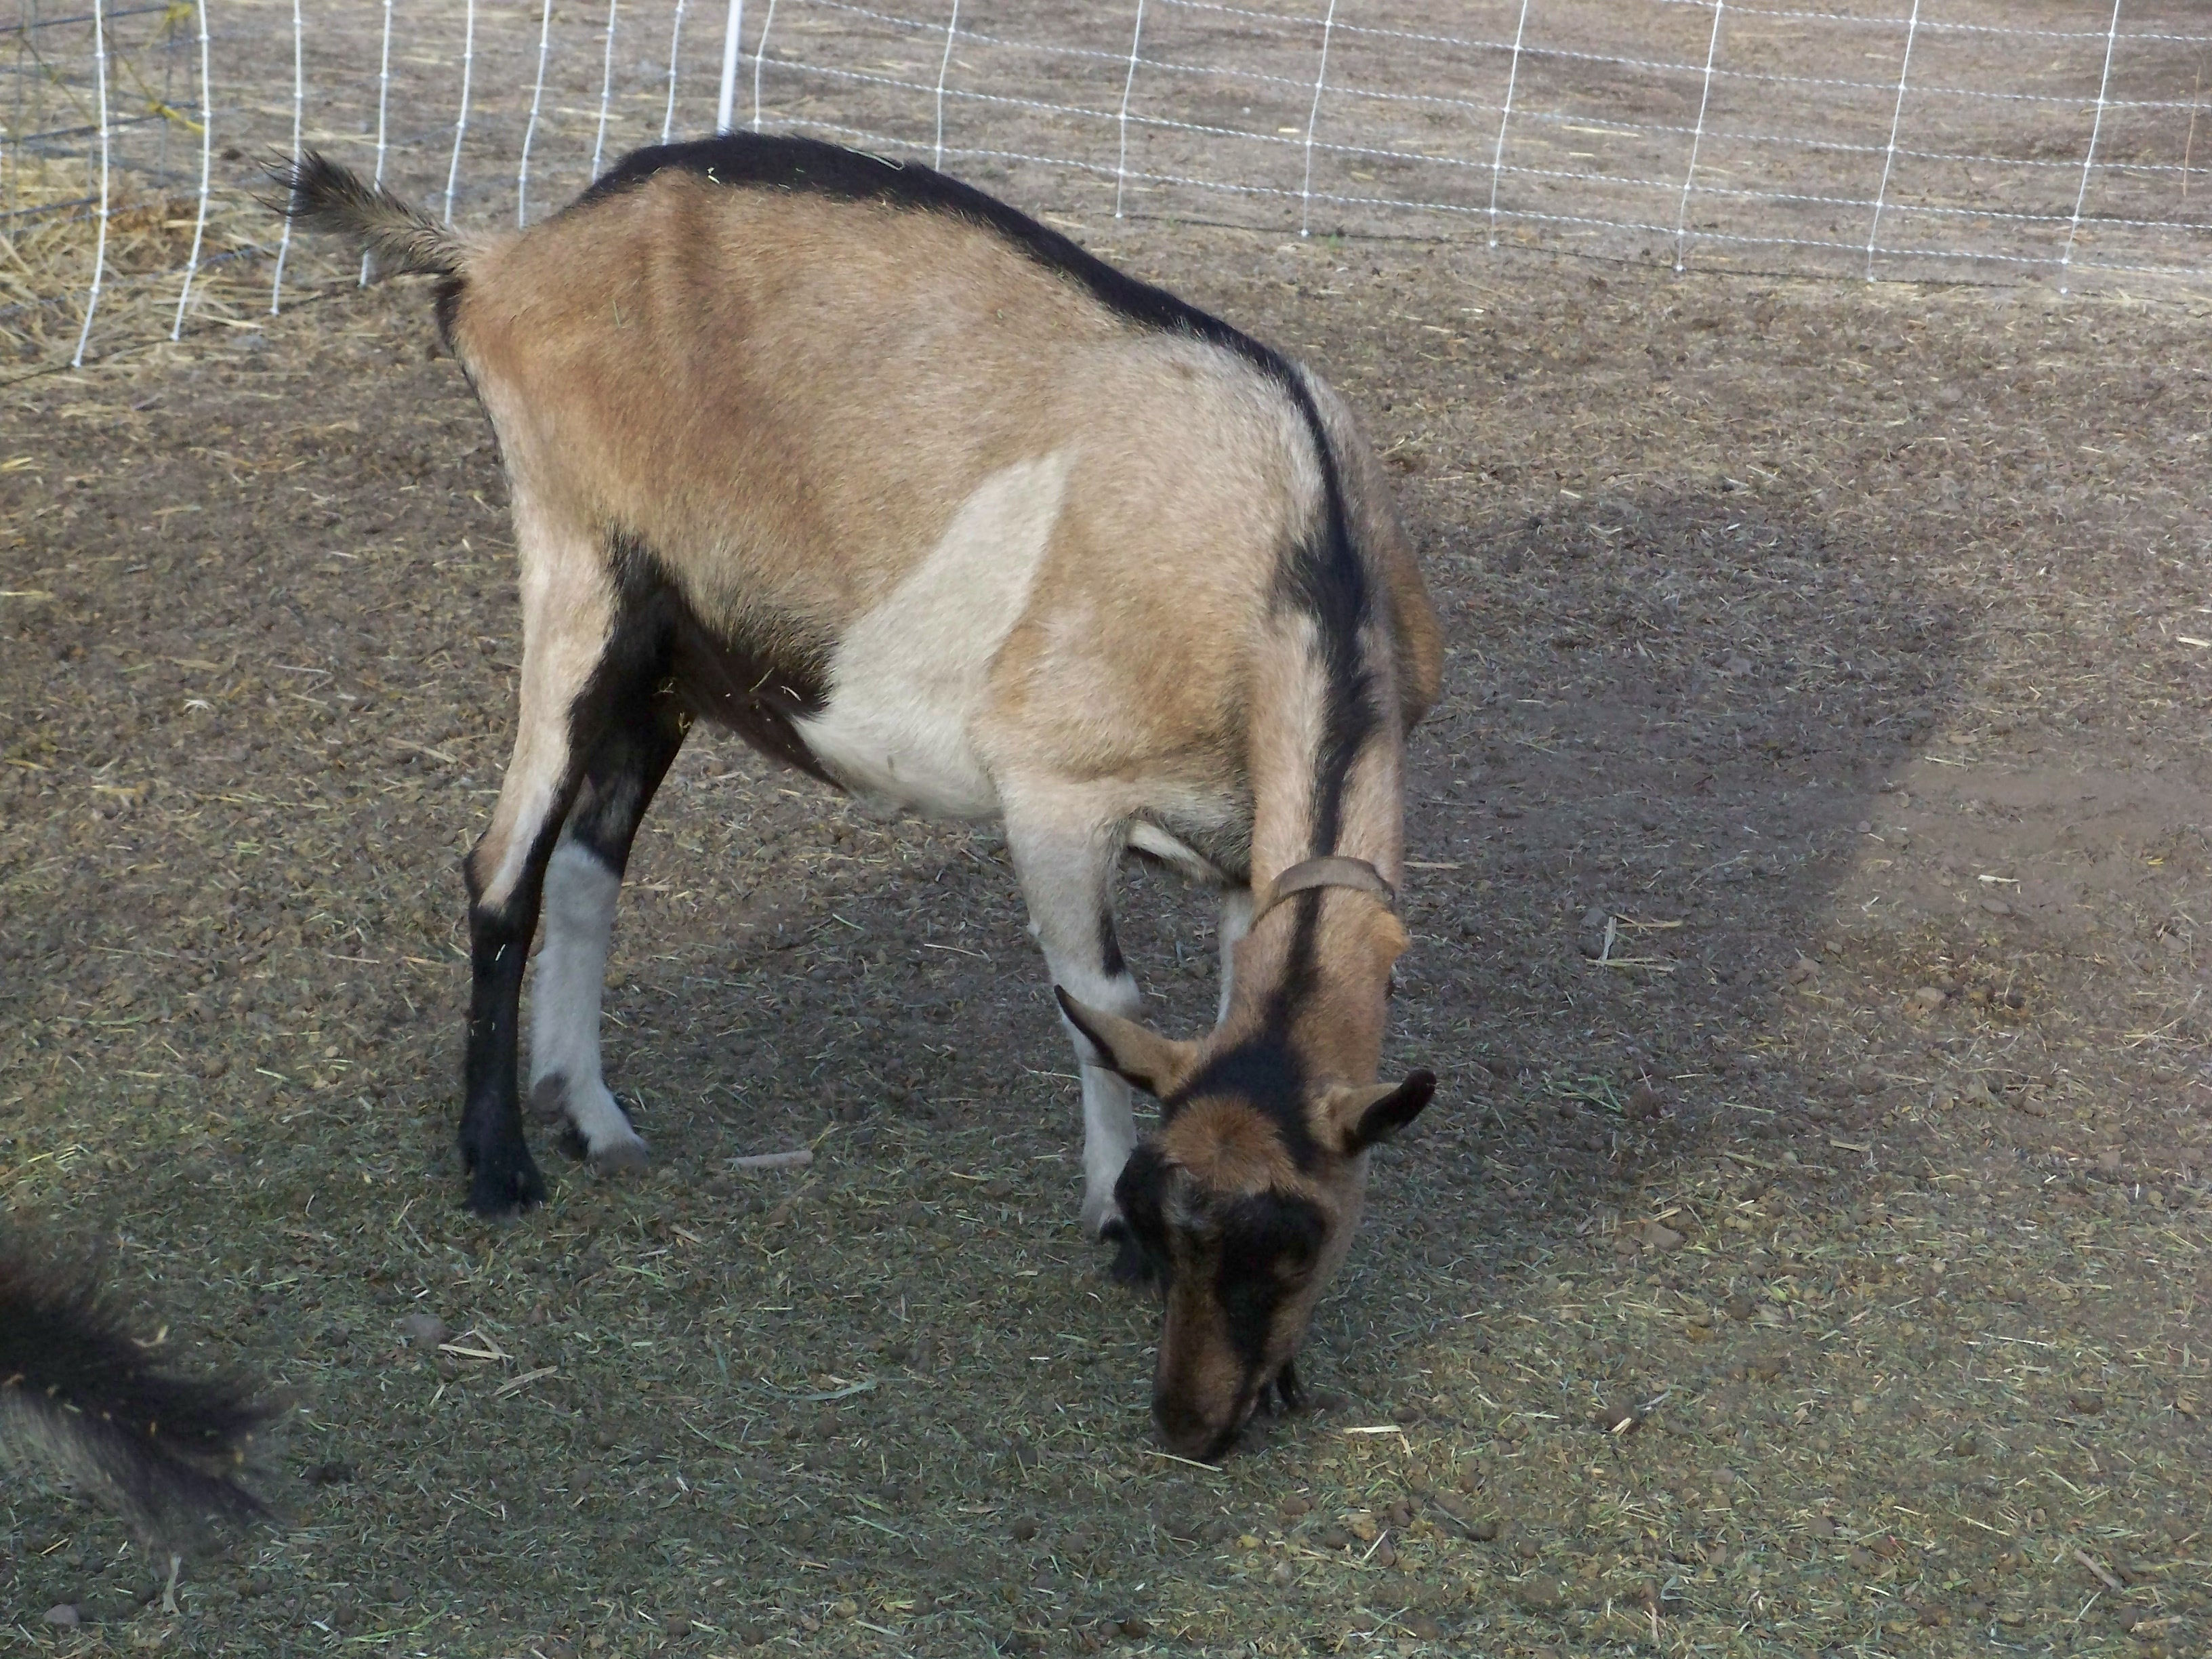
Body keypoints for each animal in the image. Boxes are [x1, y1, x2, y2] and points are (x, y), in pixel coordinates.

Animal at [276, 133, 1444, 1458]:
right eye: (1165, 1220)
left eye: (1296, 1241)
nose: (1190, 1427)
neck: (1294, 542)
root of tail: (503, 258)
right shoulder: (1052, 791)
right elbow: (1098, 1001)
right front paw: (1100, 1217)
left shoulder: (1244, 855)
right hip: (578, 563)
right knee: (500, 867)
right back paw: (498, 1168)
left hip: (668, 652)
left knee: (585, 866)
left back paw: (598, 1122)